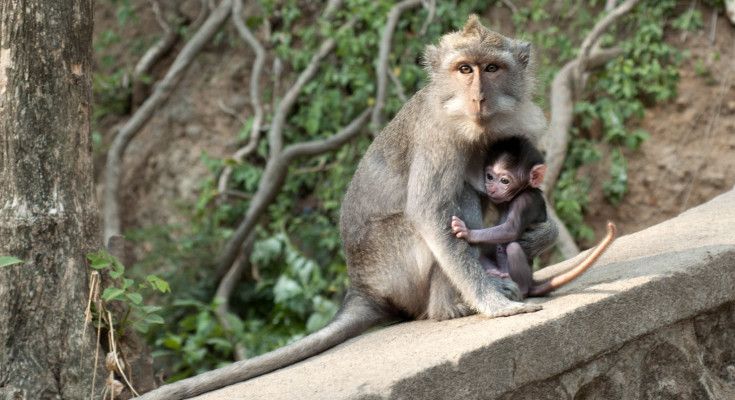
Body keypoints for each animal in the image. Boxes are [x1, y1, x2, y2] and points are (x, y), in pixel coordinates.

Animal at [135, 14, 556, 398]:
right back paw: (450, 306)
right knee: (453, 201)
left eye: (491, 68)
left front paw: (540, 235)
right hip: (395, 266)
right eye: (464, 69)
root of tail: (362, 285)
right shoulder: (437, 137)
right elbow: (428, 211)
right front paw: (491, 302)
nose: (477, 96)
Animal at [452, 138, 620, 296]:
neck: (519, 193)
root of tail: (531, 279)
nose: (491, 188)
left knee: (513, 248)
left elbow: (511, 230)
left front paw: (467, 232)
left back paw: (522, 289)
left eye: (505, 181)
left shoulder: (525, 202)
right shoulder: (498, 200)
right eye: (489, 177)